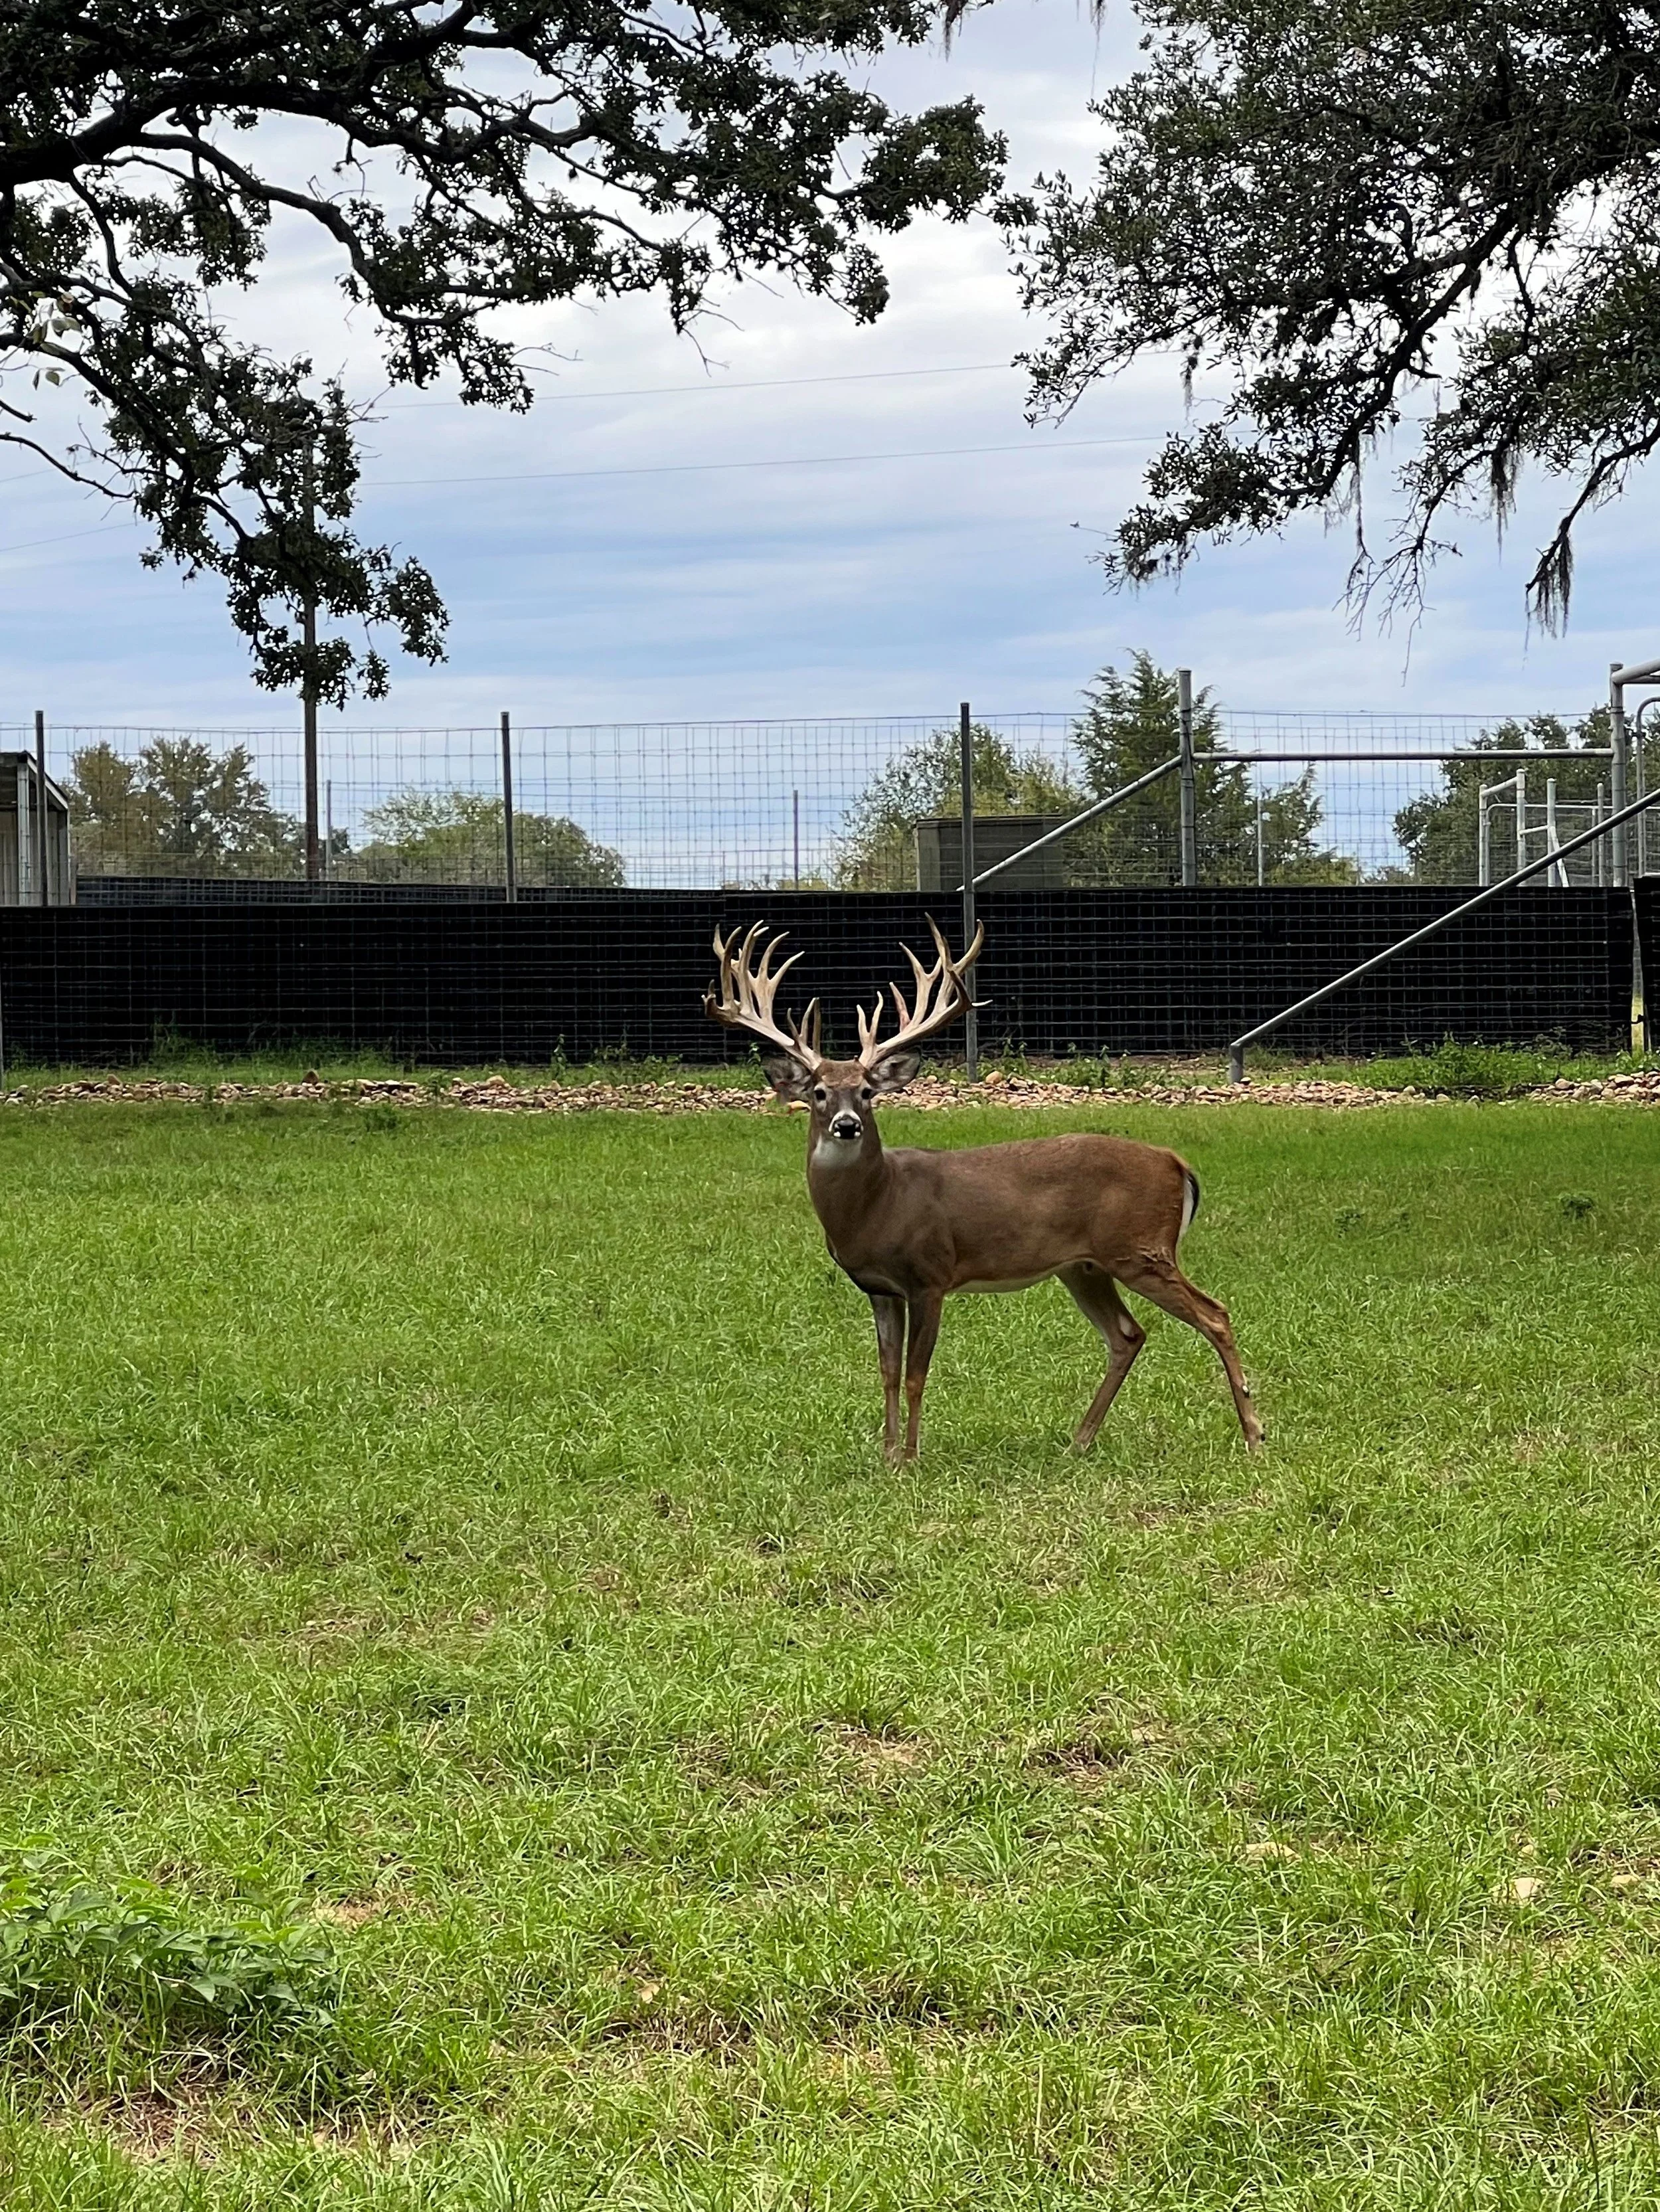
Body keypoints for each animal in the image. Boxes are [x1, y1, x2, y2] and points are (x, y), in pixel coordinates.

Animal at [704, 918, 1263, 1463]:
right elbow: (886, 1374)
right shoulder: (879, 1287)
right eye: (819, 1092)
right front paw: (885, 1456)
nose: (847, 1125)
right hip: (1085, 1266)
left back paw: (1254, 1435)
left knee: (1215, 1314)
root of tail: (1176, 1162)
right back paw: (1078, 1442)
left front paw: (910, 1460)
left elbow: (915, 1374)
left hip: (1141, 1247)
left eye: (865, 1092)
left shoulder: (930, 1274)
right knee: (1128, 1335)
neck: (877, 1206)